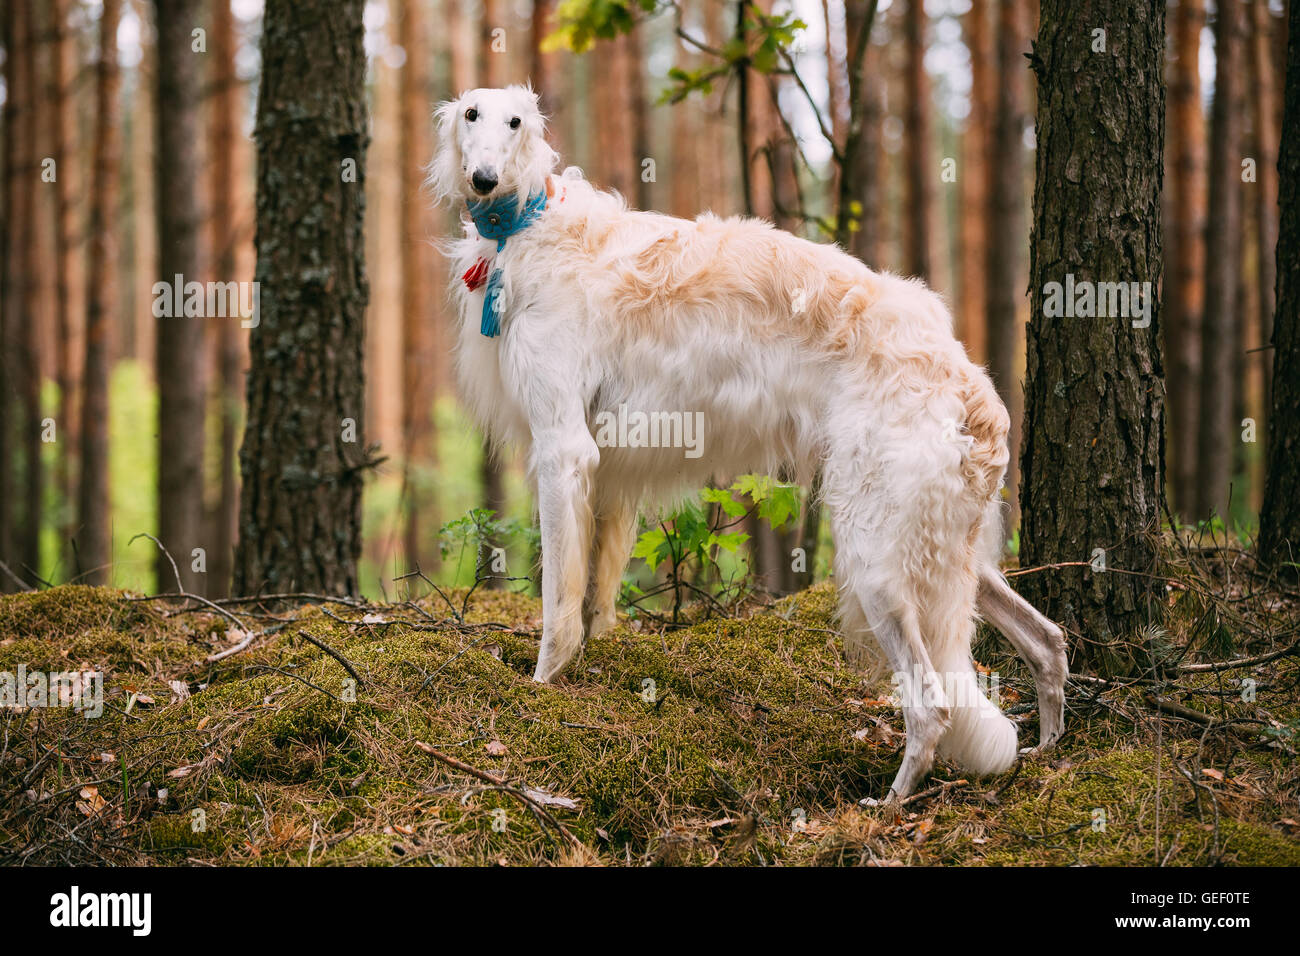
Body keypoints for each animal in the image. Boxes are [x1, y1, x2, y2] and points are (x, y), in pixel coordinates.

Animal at [436, 85, 1066, 801]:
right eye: (471, 115)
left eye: (515, 121)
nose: (484, 179)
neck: (531, 224)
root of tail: (967, 379)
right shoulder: (610, 472)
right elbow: (594, 599)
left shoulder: (563, 447)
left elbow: (558, 609)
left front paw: (541, 688)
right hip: (951, 552)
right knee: (1048, 641)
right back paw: (1048, 751)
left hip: (878, 555)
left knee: (932, 707)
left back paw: (886, 804)